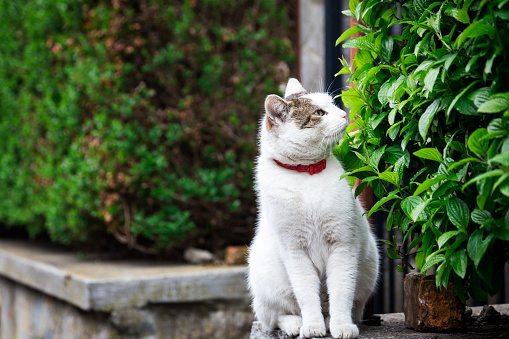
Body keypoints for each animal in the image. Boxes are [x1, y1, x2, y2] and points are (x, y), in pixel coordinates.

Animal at [246, 78, 378, 338]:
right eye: (318, 113)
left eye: (332, 104)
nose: (343, 114)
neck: (306, 174)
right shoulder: (294, 251)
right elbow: (306, 294)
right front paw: (312, 326)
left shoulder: (342, 245)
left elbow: (341, 292)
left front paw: (341, 326)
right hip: (266, 280)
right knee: (275, 317)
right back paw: (296, 324)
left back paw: (329, 320)